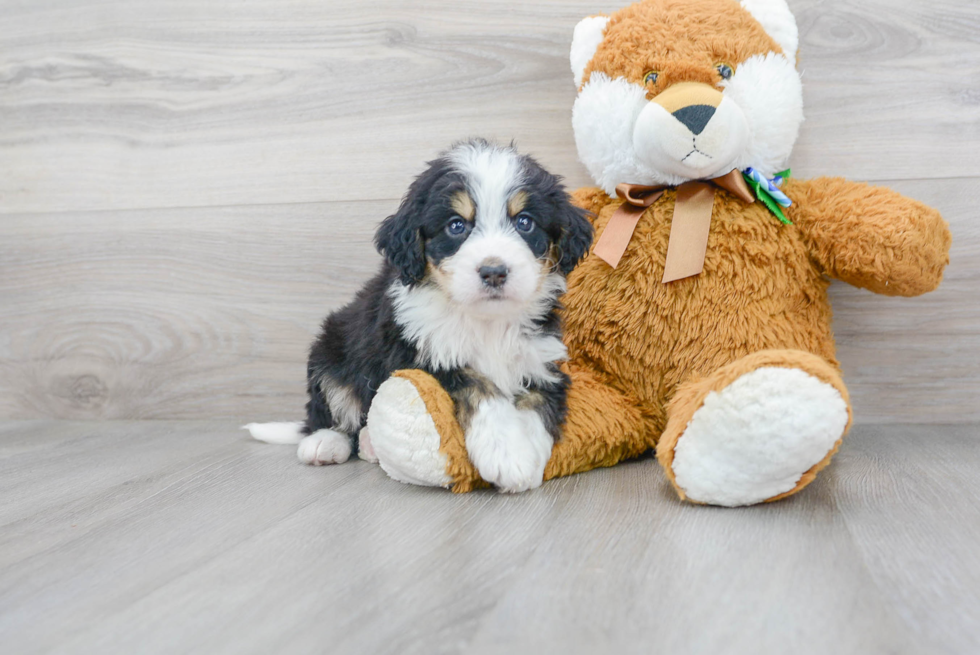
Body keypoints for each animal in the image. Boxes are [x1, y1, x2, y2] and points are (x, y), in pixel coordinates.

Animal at [249, 142, 592, 492]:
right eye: (456, 225)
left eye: (524, 222)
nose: (494, 272)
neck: (486, 321)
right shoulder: (420, 355)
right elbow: (478, 383)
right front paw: (505, 453)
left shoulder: (541, 359)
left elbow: (538, 405)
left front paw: (525, 457)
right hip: (330, 348)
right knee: (332, 411)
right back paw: (325, 443)